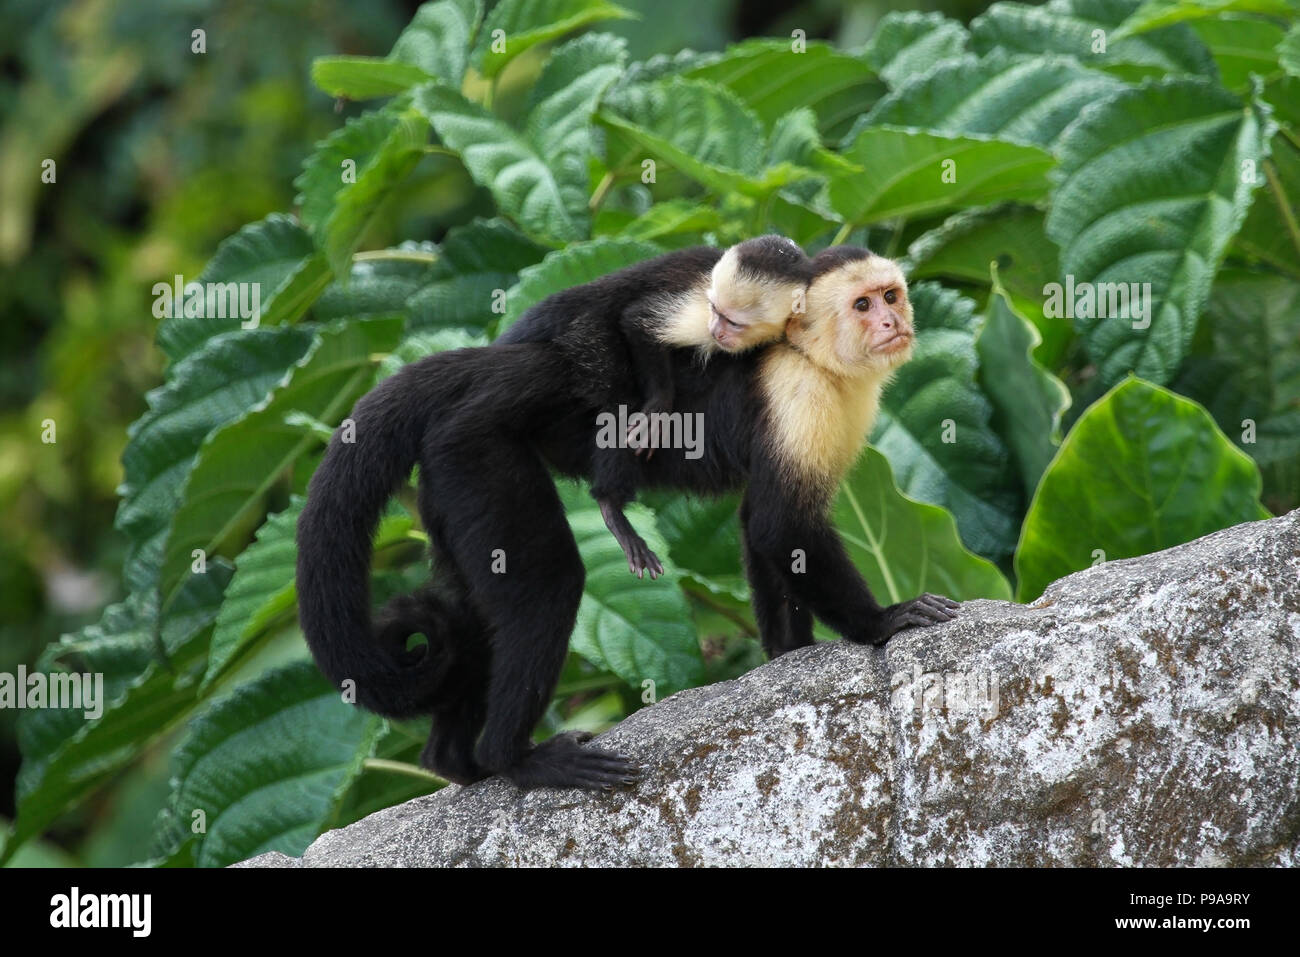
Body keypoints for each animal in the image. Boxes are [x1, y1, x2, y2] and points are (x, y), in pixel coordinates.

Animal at [499, 235, 811, 579]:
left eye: (733, 322)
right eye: (716, 310)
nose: (717, 331)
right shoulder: (699, 306)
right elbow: (638, 322)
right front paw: (660, 407)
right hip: (584, 336)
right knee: (617, 394)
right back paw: (611, 504)